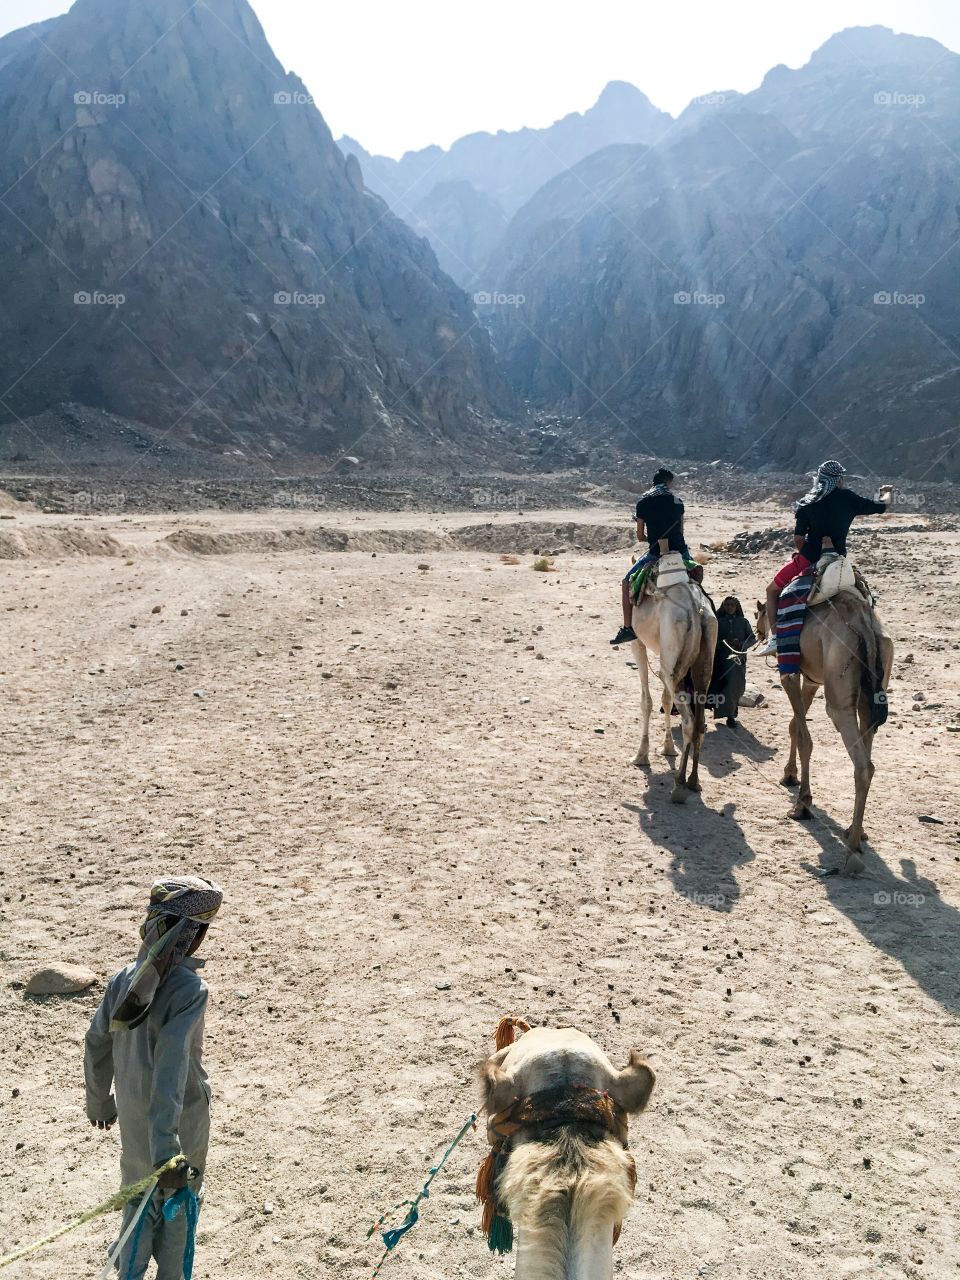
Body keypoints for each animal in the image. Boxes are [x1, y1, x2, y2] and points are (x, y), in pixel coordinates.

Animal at [629, 554, 718, 802]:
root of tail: (695, 610)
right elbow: (665, 700)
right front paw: (668, 747)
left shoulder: (637, 642)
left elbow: (647, 701)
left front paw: (641, 755)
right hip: (703, 657)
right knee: (700, 721)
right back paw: (693, 781)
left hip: (668, 660)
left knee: (688, 721)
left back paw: (679, 785)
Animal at [755, 590, 893, 874]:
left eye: (757, 613)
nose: (758, 632)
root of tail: (865, 625)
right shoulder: (811, 680)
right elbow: (794, 726)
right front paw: (789, 775)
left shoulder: (789, 671)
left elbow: (804, 738)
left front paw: (802, 803)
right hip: (873, 688)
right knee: (868, 746)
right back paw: (856, 831)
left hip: (839, 688)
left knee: (862, 765)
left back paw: (851, 854)